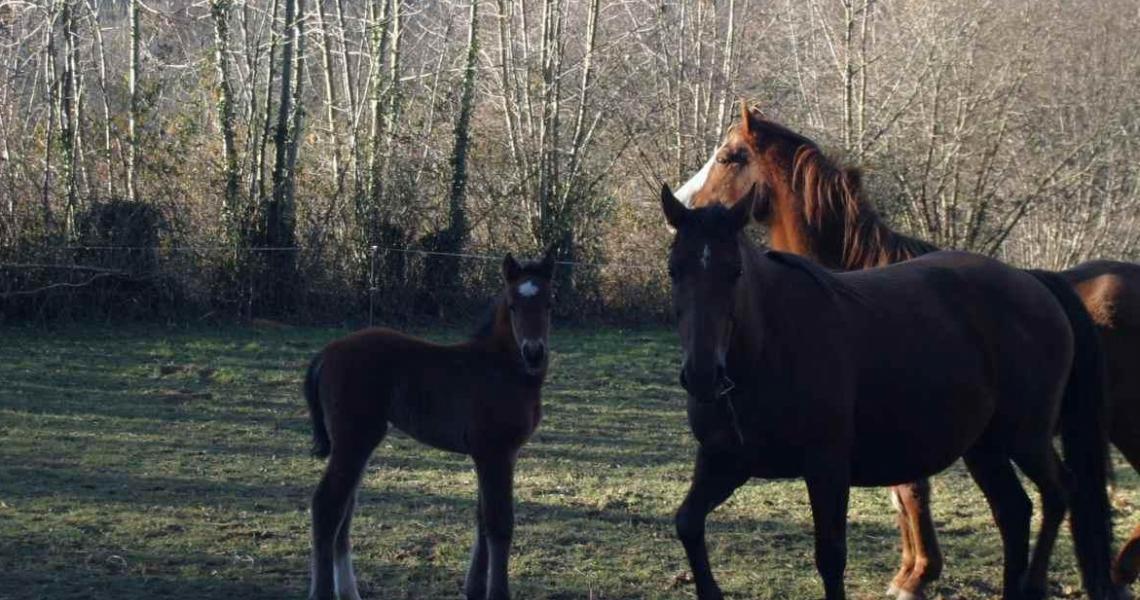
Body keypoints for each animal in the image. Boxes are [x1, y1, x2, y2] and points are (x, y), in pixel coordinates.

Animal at [300, 248, 554, 600]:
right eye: (514, 305)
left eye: (549, 304)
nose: (533, 353)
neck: (501, 368)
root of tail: (326, 352)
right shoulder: (495, 451)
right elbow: (499, 522)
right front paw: (497, 593)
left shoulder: (495, 455)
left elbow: (482, 518)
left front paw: (474, 588)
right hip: (355, 439)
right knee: (327, 506)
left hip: (357, 443)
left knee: (345, 509)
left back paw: (349, 591)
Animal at [674, 104, 1140, 600]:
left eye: (728, 156)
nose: (681, 202)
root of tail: (1037, 281)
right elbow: (907, 495)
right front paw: (914, 570)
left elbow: (909, 493)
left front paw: (914, 575)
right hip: (993, 442)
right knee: (1018, 508)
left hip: (1049, 432)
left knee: (1059, 493)